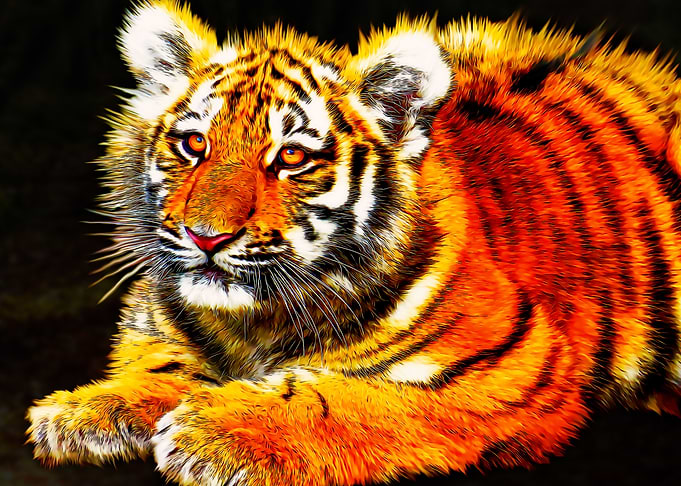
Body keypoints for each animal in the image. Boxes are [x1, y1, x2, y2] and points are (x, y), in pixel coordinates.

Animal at [26, 1, 681, 485]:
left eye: (291, 156)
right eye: (193, 144)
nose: (205, 236)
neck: (248, 324)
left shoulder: (513, 365)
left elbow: (346, 399)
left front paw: (213, 433)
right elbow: (164, 364)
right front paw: (80, 411)